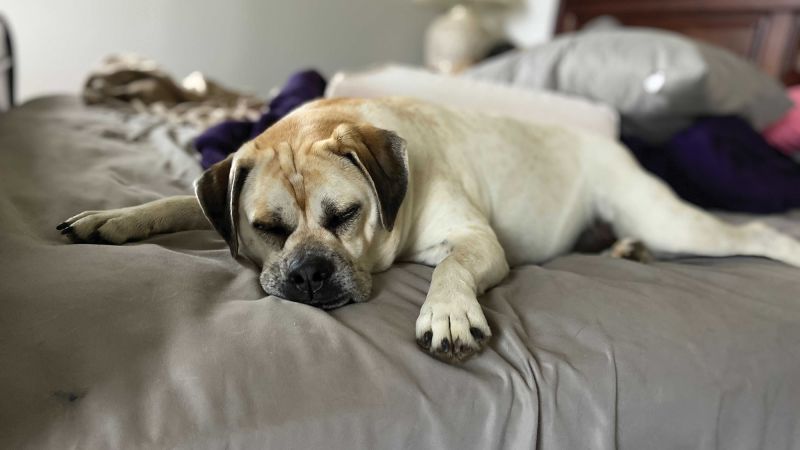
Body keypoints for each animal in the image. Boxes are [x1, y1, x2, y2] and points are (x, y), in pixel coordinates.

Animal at [59, 97, 800, 362]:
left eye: (344, 217)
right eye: (268, 228)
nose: (308, 272)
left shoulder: (475, 240)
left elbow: (449, 267)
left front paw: (446, 314)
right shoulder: (220, 197)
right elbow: (176, 202)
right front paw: (112, 218)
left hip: (677, 222)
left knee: (753, 236)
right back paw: (622, 248)